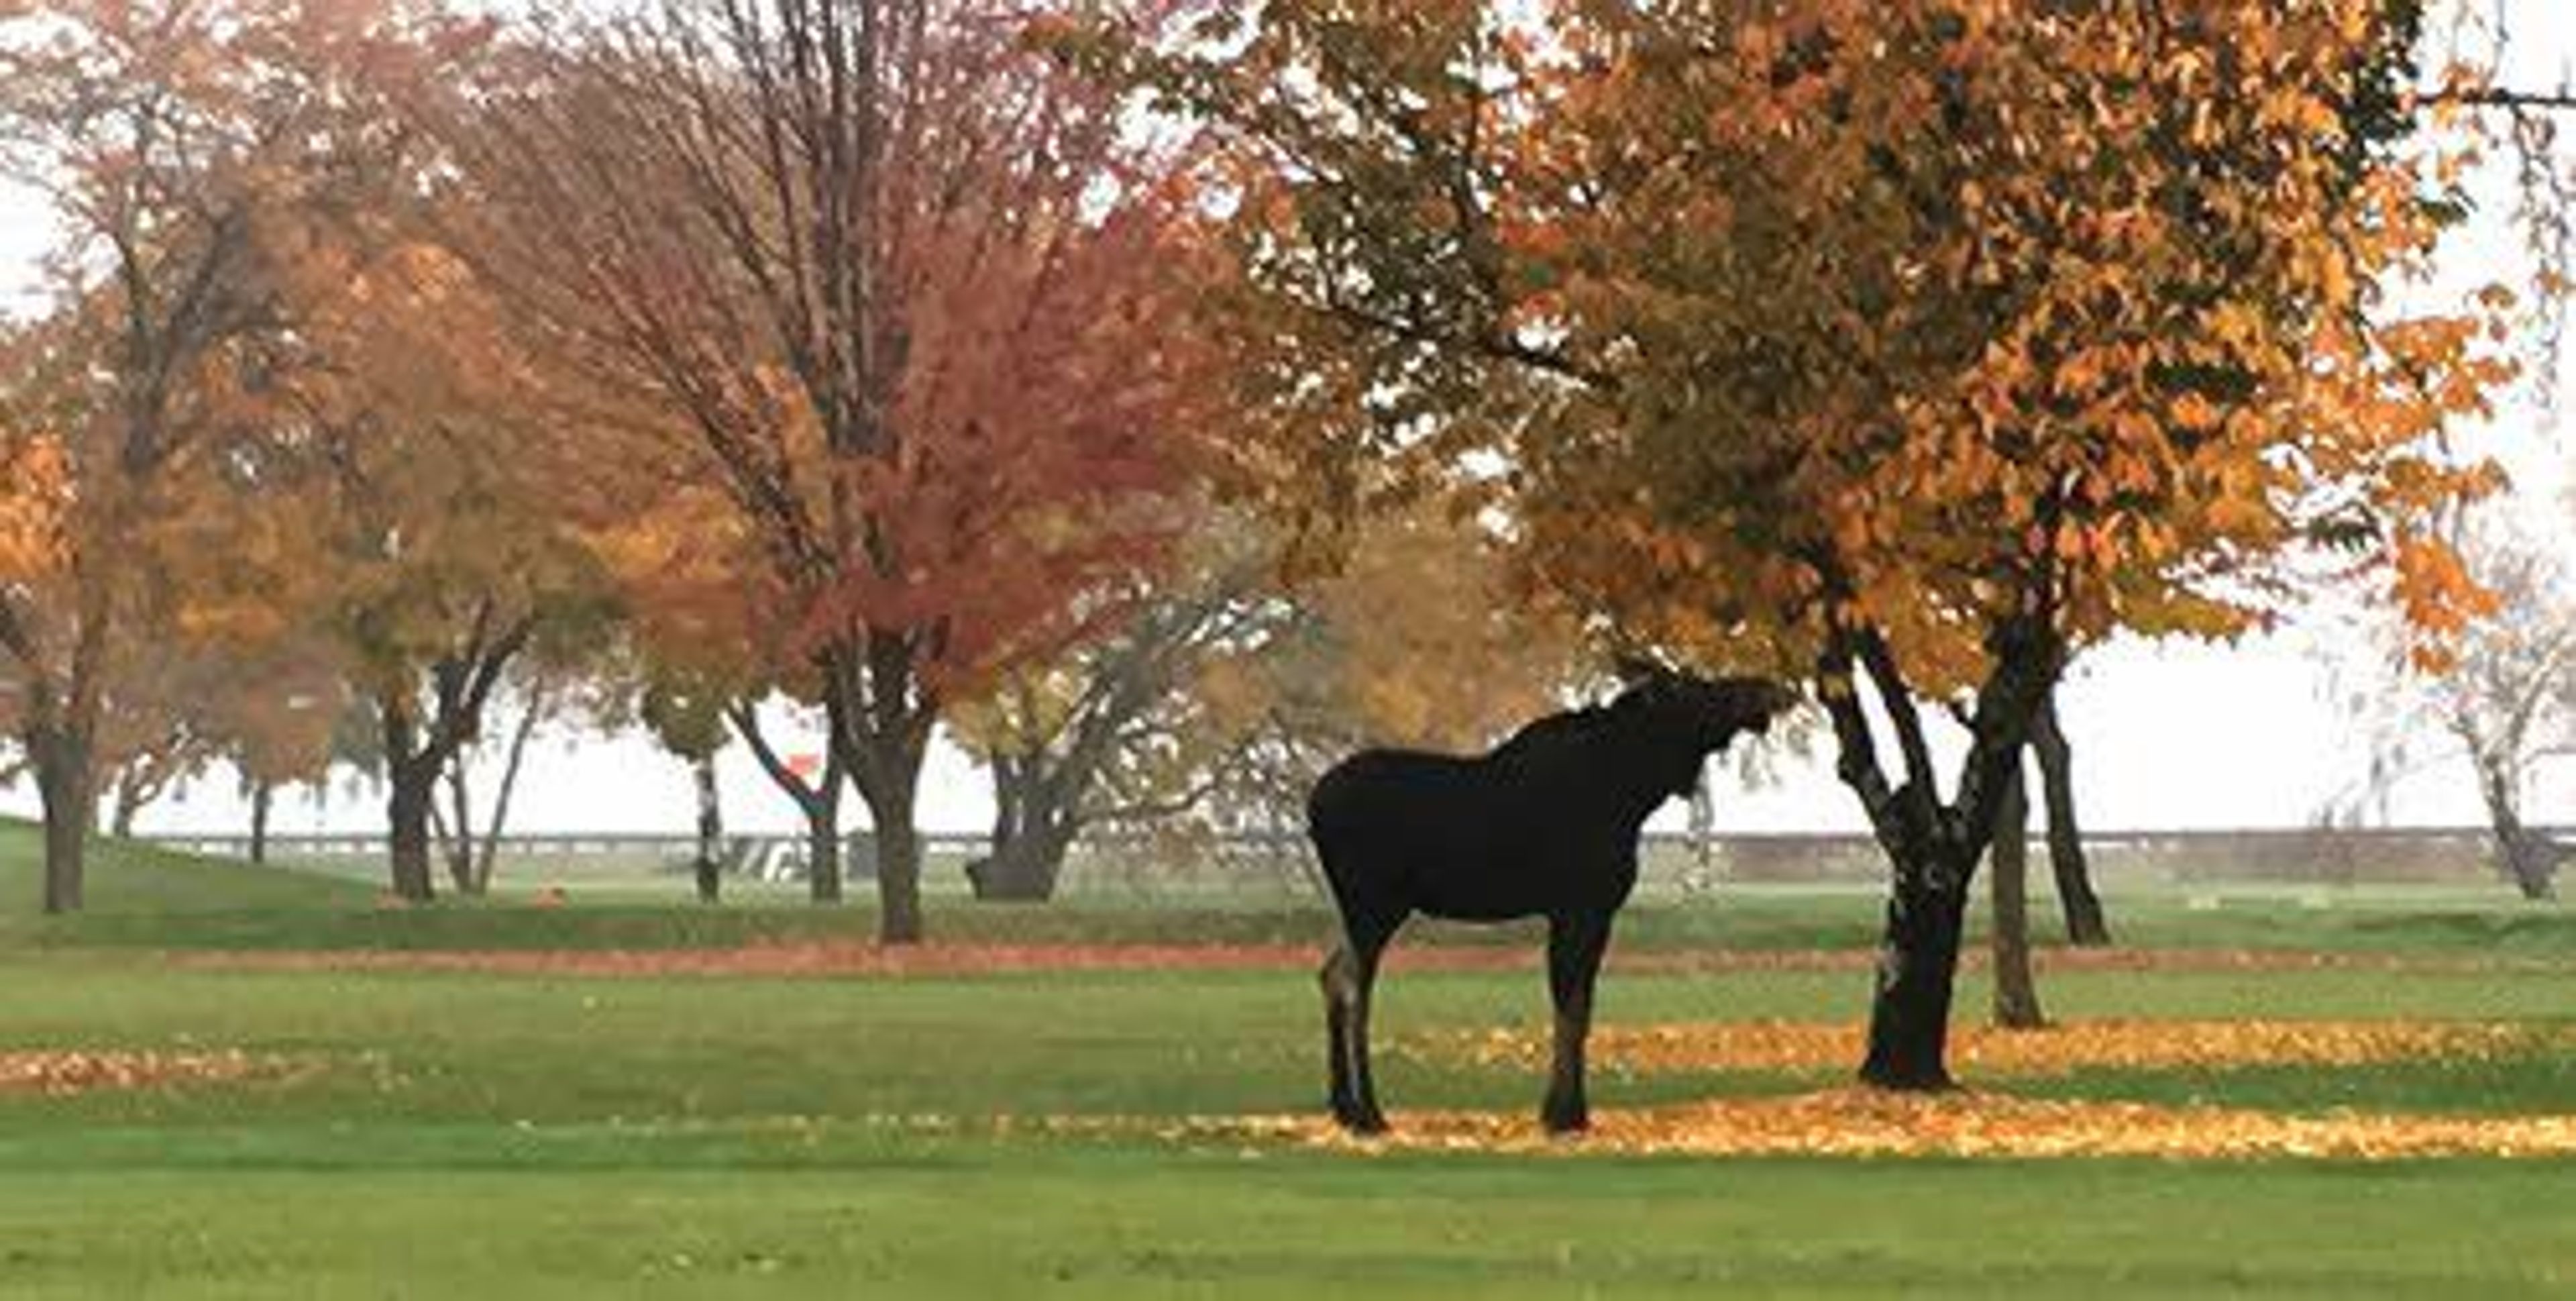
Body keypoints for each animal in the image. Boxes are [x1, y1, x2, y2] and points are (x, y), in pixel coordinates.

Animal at [1308, 664, 1792, 1133]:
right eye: (1693, 687)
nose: (1767, 688)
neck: (1632, 793)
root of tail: (1313, 806)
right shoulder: (1581, 908)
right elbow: (1571, 1006)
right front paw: (1565, 1115)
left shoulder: (1585, 913)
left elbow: (1579, 1007)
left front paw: (1561, 1111)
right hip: (1373, 902)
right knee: (1355, 987)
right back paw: (1369, 1114)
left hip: (1365, 909)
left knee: (1332, 972)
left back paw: (1343, 1107)